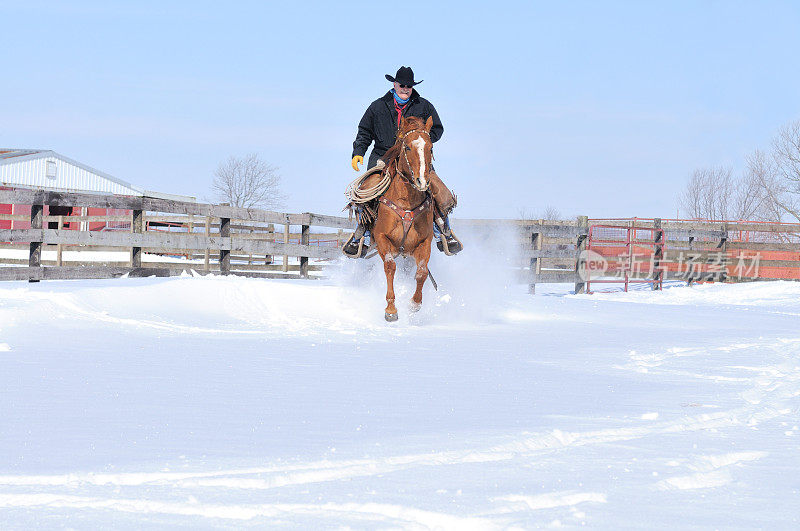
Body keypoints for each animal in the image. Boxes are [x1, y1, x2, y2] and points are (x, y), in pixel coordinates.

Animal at [374, 116, 434, 322]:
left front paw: (415, 304)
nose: (422, 181)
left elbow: (422, 272)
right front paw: (391, 309)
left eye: (431, 147)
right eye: (407, 147)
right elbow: (390, 266)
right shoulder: (382, 238)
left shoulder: (425, 242)